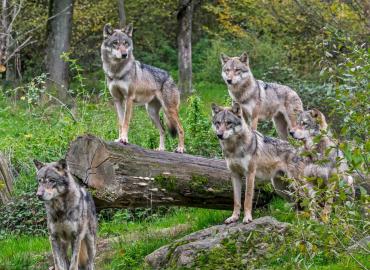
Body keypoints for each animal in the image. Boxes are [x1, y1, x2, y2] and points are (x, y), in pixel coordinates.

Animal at [101, 23, 185, 153]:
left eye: (125, 43)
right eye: (115, 43)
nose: (124, 55)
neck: (116, 71)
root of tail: (170, 77)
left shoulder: (129, 98)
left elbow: (126, 121)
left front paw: (124, 139)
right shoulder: (117, 99)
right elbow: (120, 122)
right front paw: (119, 139)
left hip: (169, 110)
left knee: (181, 129)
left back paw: (180, 148)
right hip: (151, 113)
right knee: (162, 130)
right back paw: (161, 149)